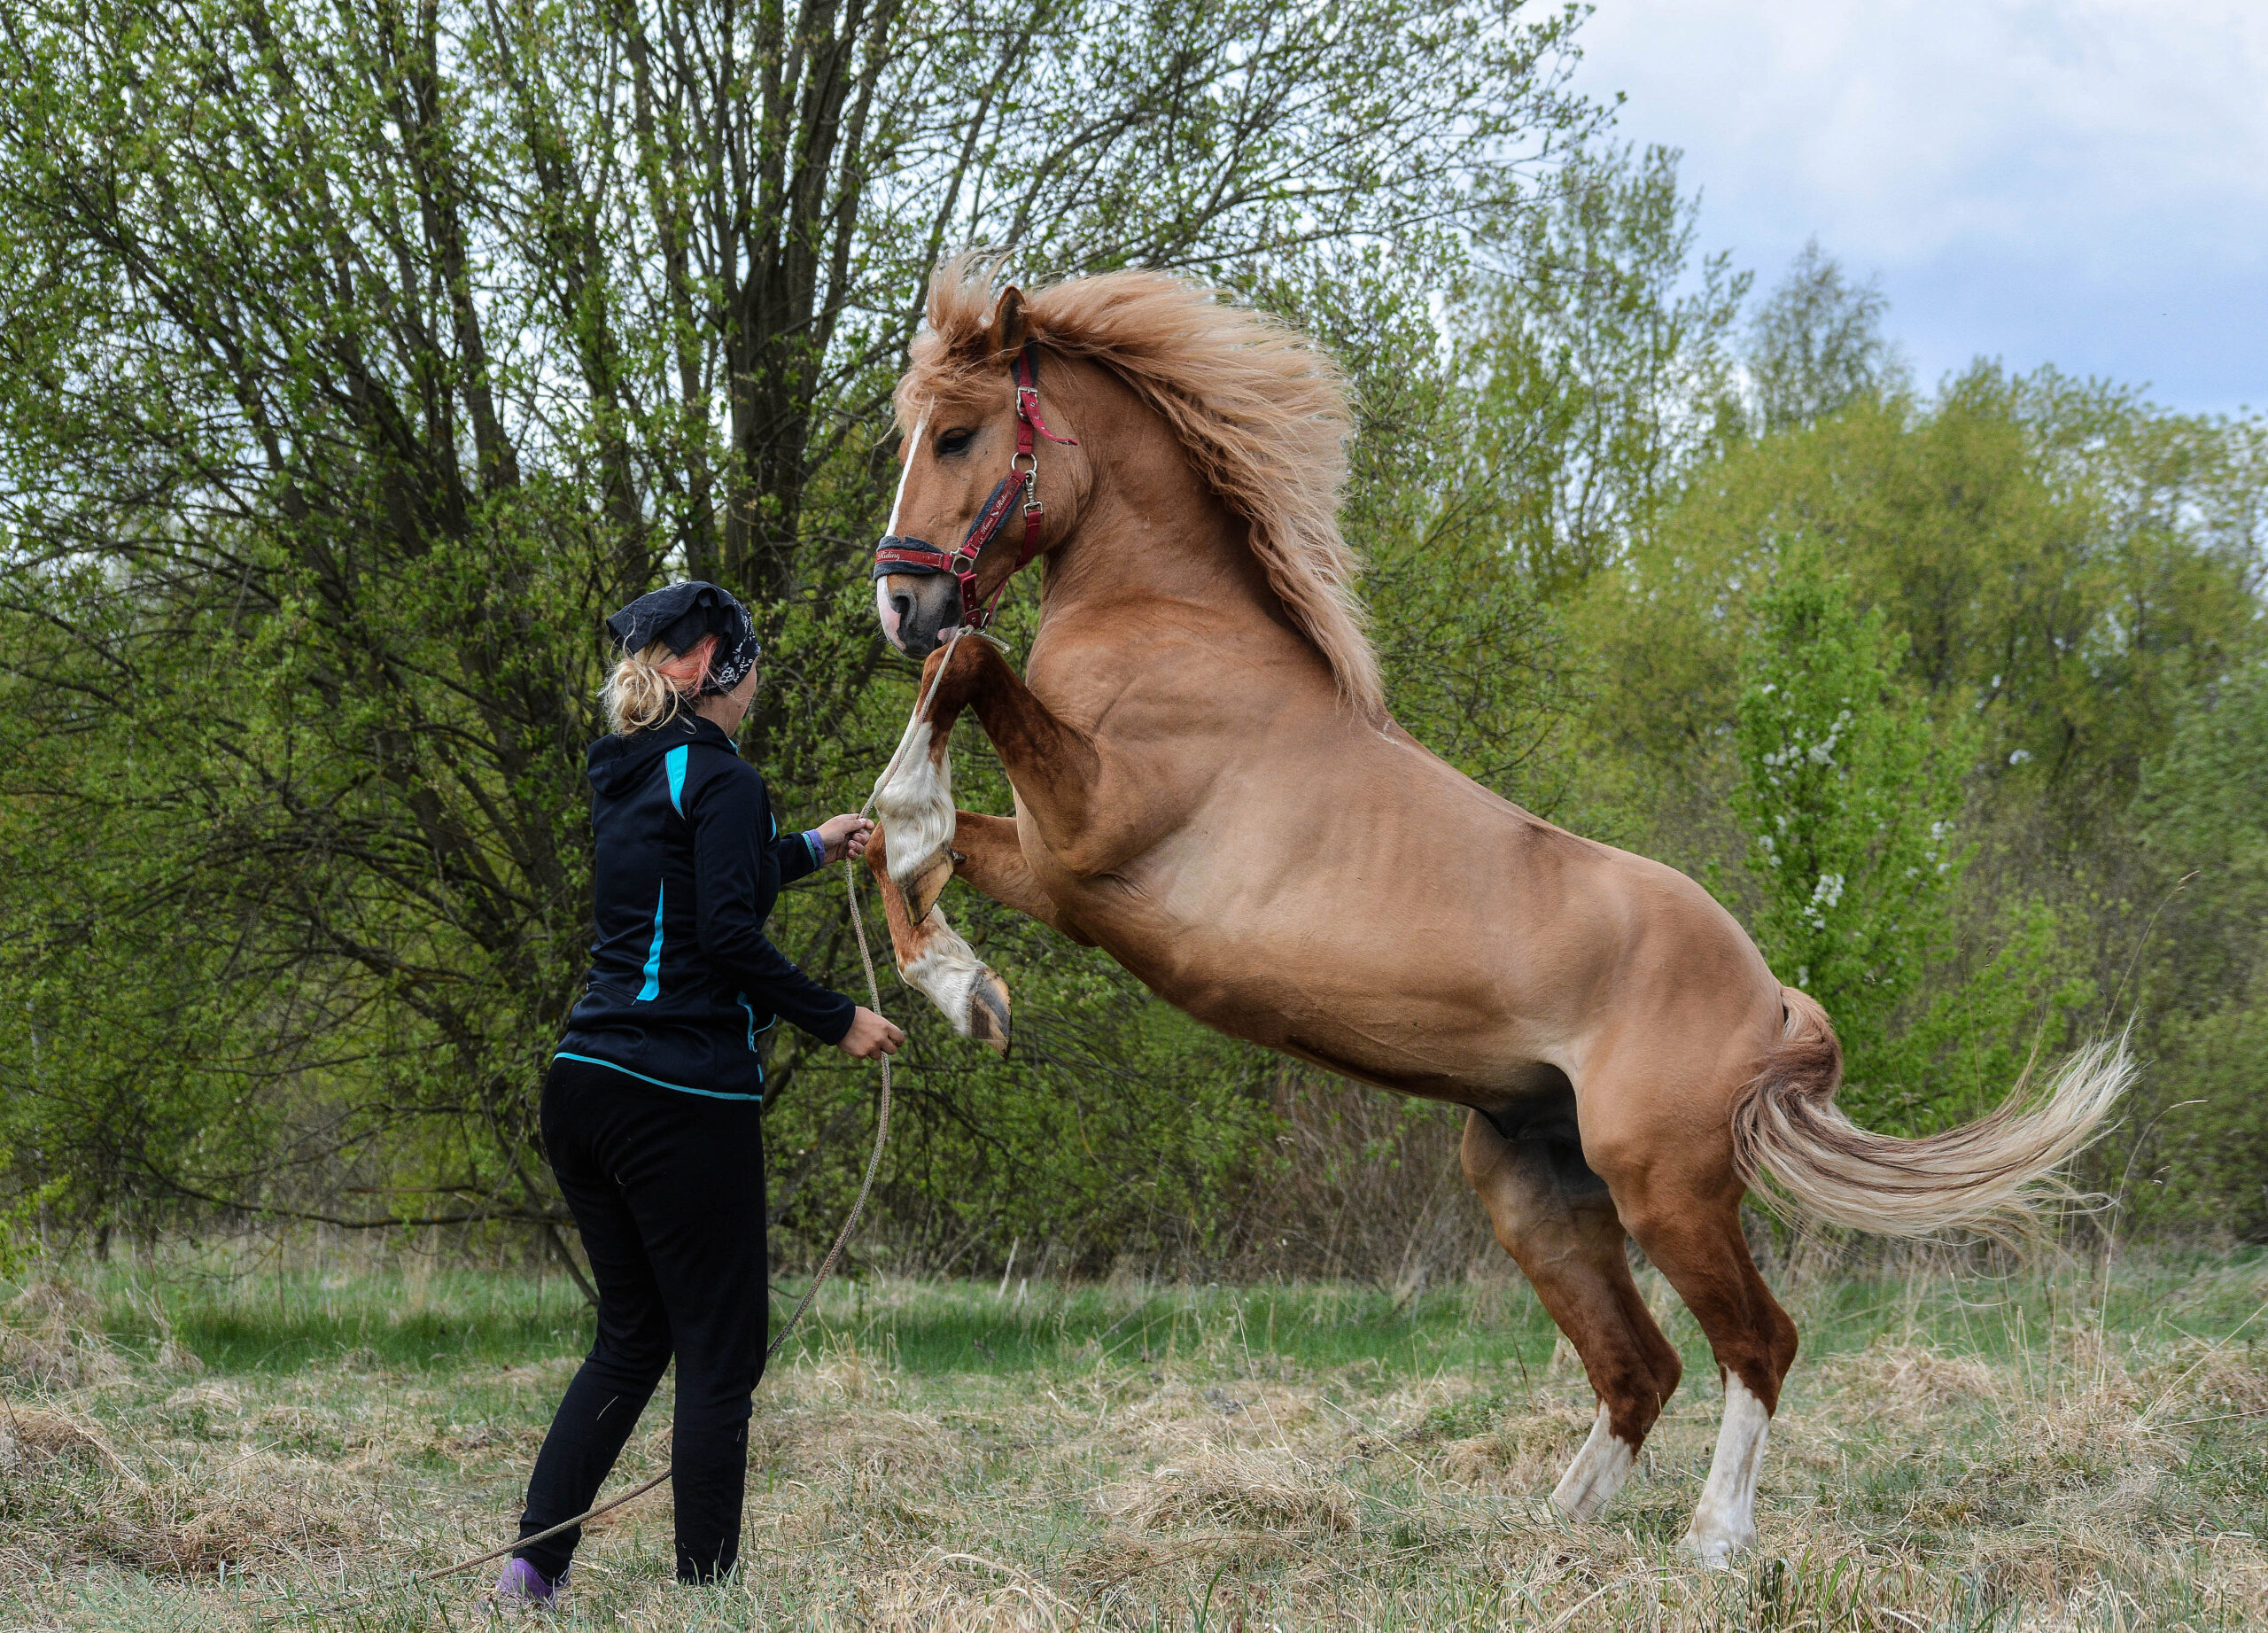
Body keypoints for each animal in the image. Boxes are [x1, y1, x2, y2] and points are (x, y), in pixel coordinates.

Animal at [857, 261, 2132, 1560]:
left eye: (957, 433)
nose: (899, 602)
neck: (1175, 628)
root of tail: (1772, 997)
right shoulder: (1057, 872)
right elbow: (885, 841)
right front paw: (963, 986)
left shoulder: (1093, 833)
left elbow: (960, 682)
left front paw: (933, 880)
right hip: (1535, 1189)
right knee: (1641, 1365)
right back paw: (1555, 1528)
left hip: (1666, 1189)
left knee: (1754, 1342)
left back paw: (1712, 1541)